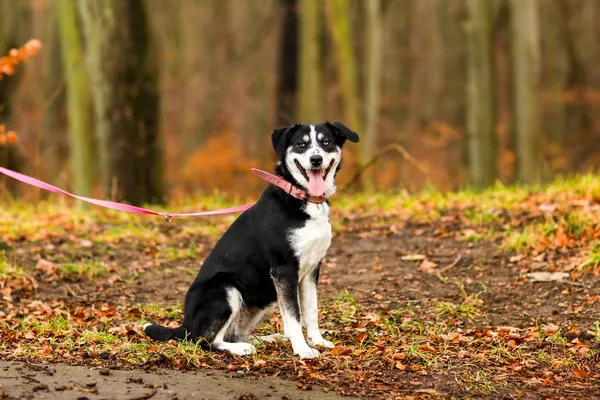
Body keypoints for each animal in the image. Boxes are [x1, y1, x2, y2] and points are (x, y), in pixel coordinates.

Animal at [144, 122, 360, 360]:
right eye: (301, 144)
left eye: (326, 142)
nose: (316, 159)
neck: (301, 198)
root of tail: (186, 325)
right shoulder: (284, 270)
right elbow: (294, 316)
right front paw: (302, 349)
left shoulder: (312, 269)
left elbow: (311, 311)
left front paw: (317, 341)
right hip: (225, 289)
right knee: (206, 340)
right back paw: (242, 348)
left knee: (235, 334)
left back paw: (269, 339)